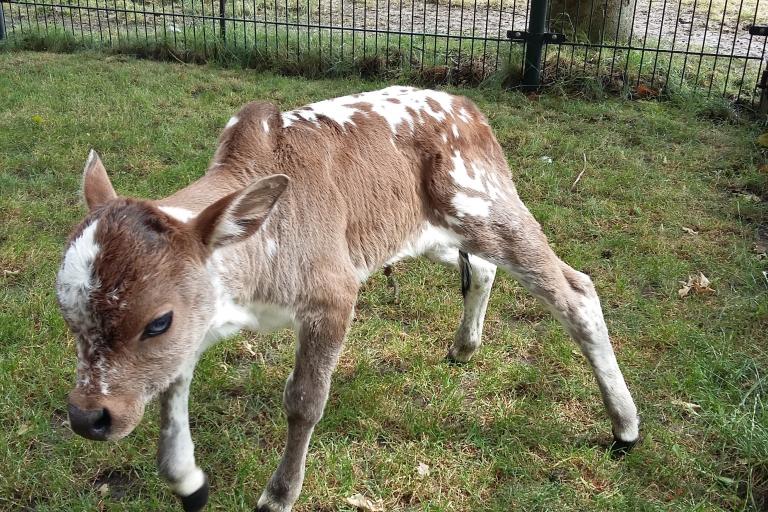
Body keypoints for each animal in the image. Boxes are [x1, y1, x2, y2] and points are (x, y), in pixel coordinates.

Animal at [57, 86, 640, 510]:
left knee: (576, 290)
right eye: (69, 314)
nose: (89, 418)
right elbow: (170, 388)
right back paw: (463, 347)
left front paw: (277, 495)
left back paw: (625, 427)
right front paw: (188, 480)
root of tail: (470, 109)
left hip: (488, 207)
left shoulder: (334, 292)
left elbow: (304, 400)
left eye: (157, 320)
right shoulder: (203, 318)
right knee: (481, 269)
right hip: (422, 233)